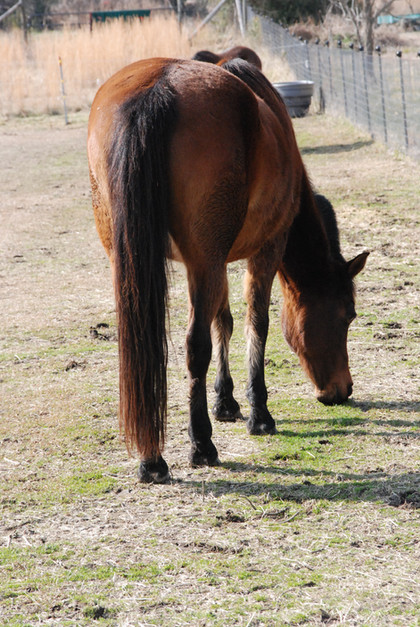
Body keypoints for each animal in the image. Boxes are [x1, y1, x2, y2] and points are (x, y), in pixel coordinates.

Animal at [87, 57, 368, 483]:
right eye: (348, 315)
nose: (342, 389)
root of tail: (157, 86)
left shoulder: (211, 261)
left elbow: (224, 321)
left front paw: (226, 402)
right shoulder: (266, 248)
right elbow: (256, 324)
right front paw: (259, 414)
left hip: (140, 258)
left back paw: (151, 459)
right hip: (207, 258)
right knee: (194, 345)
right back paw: (201, 445)